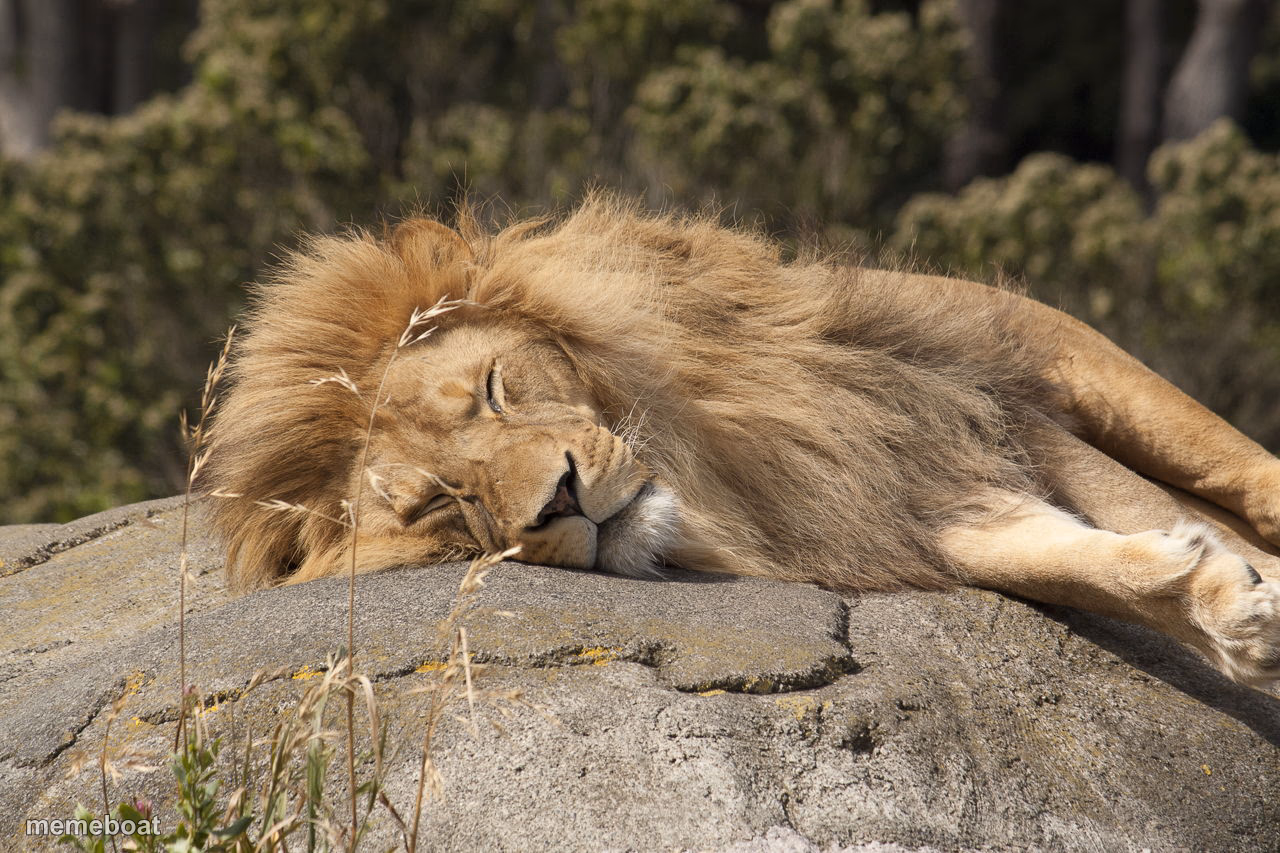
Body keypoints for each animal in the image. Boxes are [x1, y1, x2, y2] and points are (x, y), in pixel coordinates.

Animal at [202, 197, 1280, 688]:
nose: (556, 499)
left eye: (496, 390)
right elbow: (1085, 556)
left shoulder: (990, 373)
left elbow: (1193, 487)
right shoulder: (910, 499)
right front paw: (1225, 609)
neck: (717, 466)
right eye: (445, 504)